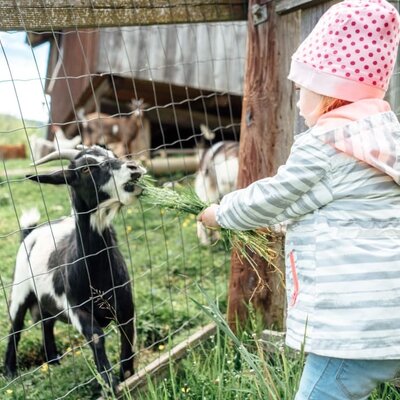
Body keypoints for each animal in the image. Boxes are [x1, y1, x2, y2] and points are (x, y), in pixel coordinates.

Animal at [4, 145, 145, 390]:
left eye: (112, 155)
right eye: (86, 169)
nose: (134, 167)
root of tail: (30, 233)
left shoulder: (126, 304)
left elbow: (127, 336)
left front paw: (126, 377)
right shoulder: (76, 308)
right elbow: (96, 336)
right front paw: (108, 382)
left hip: (45, 299)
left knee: (46, 323)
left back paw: (53, 360)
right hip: (20, 288)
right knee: (16, 327)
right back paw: (10, 372)